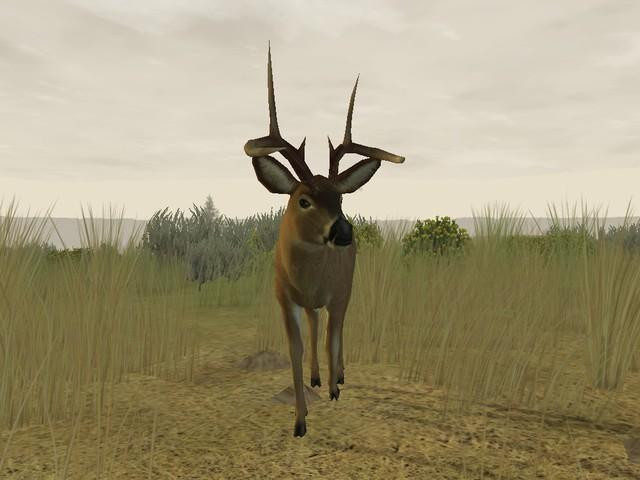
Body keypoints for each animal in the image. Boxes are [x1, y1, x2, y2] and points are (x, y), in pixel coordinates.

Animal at [244, 44, 404, 437]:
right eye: (304, 200)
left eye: (340, 197)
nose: (344, 232)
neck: (308, 277)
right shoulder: (284, 297)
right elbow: (296, 349)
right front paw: (300, 420)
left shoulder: (337, 292)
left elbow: (334, 334)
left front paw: (333, 389)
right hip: (312, 302)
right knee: (316, 324)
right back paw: (317, 377)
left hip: (347, 285)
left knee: (336, 328)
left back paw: (337, 377)